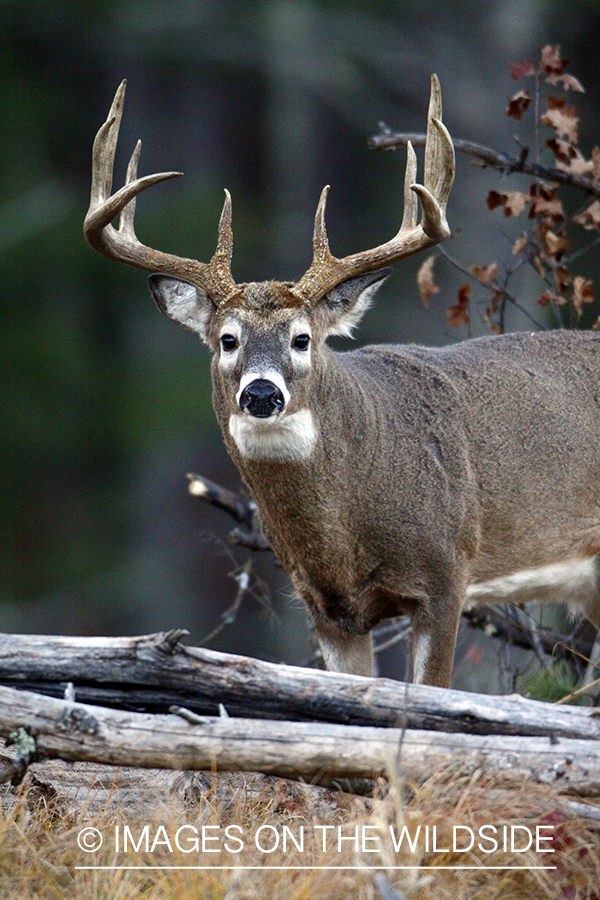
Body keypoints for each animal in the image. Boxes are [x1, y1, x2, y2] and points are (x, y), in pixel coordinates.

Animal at [84, 77, 600, 684]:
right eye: (227, 339)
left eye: (303, 338)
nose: (262, 393)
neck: (344, 536)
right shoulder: (328, 611)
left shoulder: (446, 574)